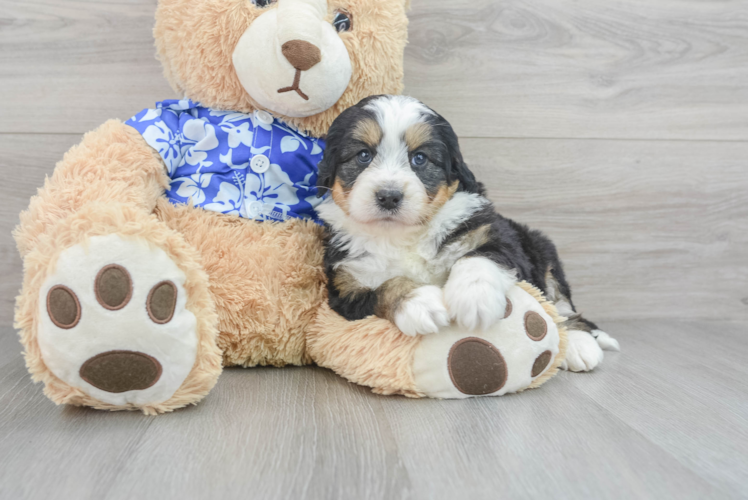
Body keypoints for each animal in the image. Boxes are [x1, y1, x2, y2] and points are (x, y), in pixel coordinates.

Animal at [316, 95, 620, 374]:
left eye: (419, 158)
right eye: (363, 155)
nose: (389, 196)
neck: (402, 235)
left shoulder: (498, 237)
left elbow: (479, 257)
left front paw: (474, 297)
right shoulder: (345, 287)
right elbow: (383, 288)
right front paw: (420, 302)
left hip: (542, 251)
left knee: (562, 305)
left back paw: (581, 344)